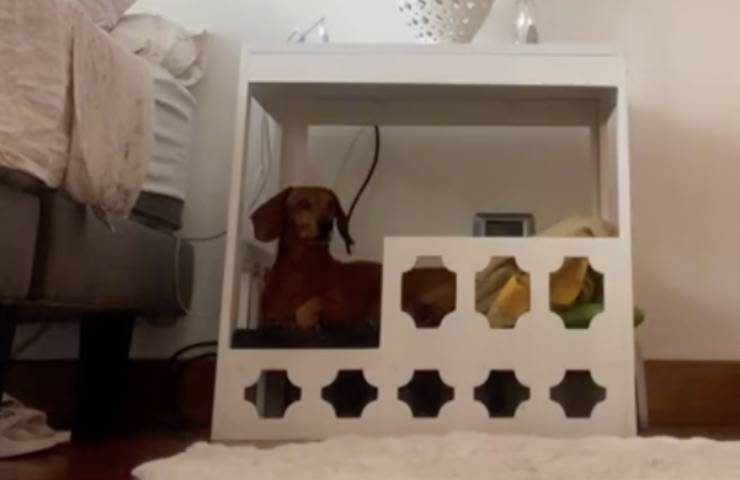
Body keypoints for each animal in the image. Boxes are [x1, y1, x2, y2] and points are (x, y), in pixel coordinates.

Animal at [251, 186, 455, 331]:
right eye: (303, 203)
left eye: (331, 205)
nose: (326, 225)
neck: (301, 266)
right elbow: (273, 316)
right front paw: (282, 320)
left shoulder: (342, 308)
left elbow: (309, 307)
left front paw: (306, 319)